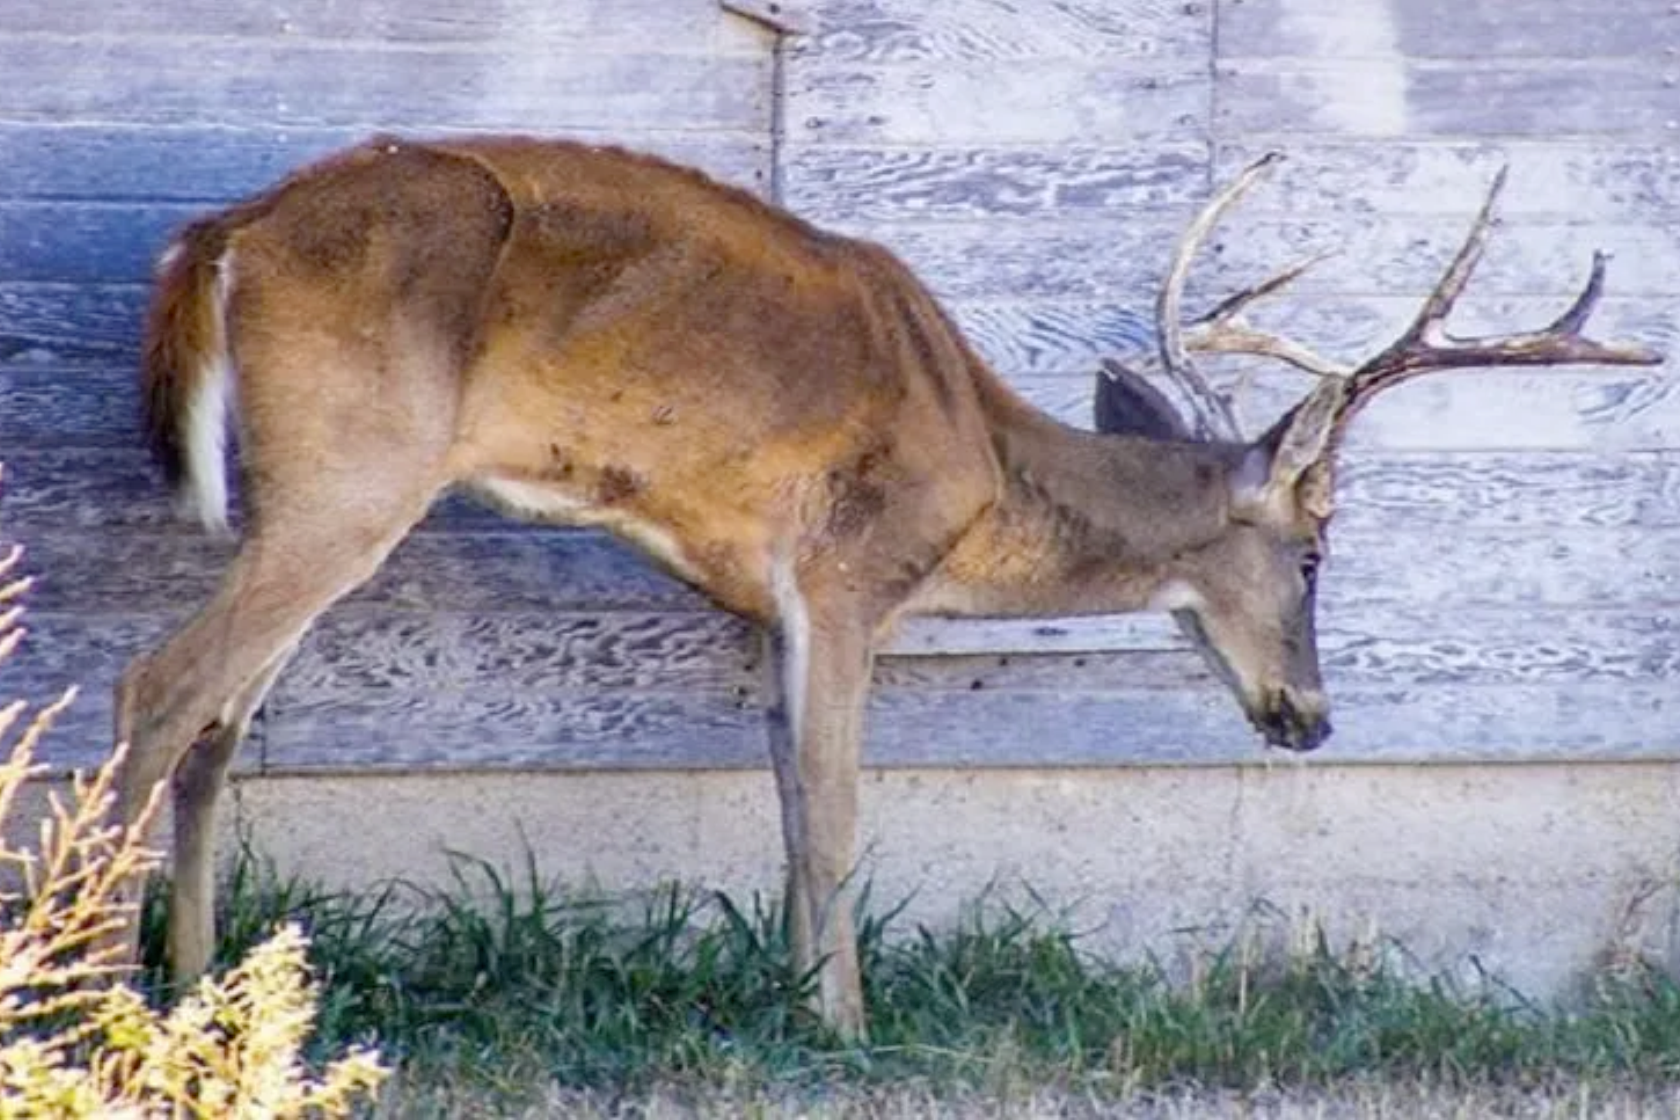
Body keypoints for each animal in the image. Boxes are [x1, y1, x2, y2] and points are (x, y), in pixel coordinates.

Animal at [110, 135, 1660, 1038]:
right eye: (1319, 552)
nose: (1312, 717)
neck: (979, 468)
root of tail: (221, 237)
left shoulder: (766, 607)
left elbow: (792, 802)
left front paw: (797, 1004)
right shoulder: (850, 572)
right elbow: (842, 809)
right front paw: (850, 1029)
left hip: (317, 491)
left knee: (219, 721)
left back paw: (203, 984)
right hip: (355, 469)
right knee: (158, 683)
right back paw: (98, 989)